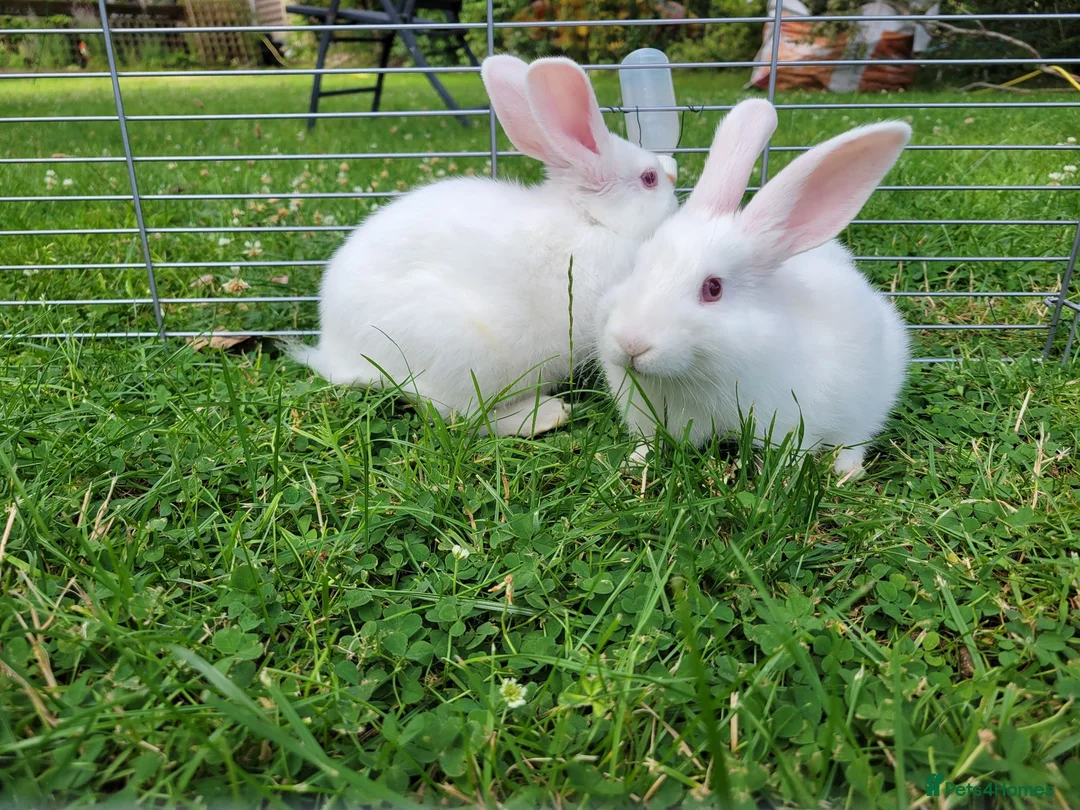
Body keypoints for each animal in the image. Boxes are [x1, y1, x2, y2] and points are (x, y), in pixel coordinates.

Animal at [286, 54, 679, 438]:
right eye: (649, 178)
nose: (673, 177)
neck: (593, 220)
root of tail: (336, 353)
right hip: (467, 357)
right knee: (466, 417)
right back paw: (547, 415)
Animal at [599, 98, 912, 477]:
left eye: (713, 288)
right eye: (637, 265)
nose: (631, 344)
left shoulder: (789, 420)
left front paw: (774, 475)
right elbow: (647, 443)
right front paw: (633, 462)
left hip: (869, 395)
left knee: (857, 435)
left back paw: (846, 470)